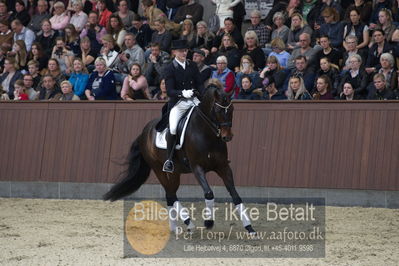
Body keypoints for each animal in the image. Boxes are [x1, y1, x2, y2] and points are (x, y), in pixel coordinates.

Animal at [104, 85, 256, 235]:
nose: (227, 136)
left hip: (175, 172)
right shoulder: (197, 168)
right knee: (171, 194)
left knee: (170, 194)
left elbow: (235, 195)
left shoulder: (223, 167)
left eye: (232, 109)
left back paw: (175, 227)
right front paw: (208, 222)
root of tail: (143, 133)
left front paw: (249, 228)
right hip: (158, 169)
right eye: (218, 110)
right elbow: (209, 193)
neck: (207, 134)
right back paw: (189, 224)